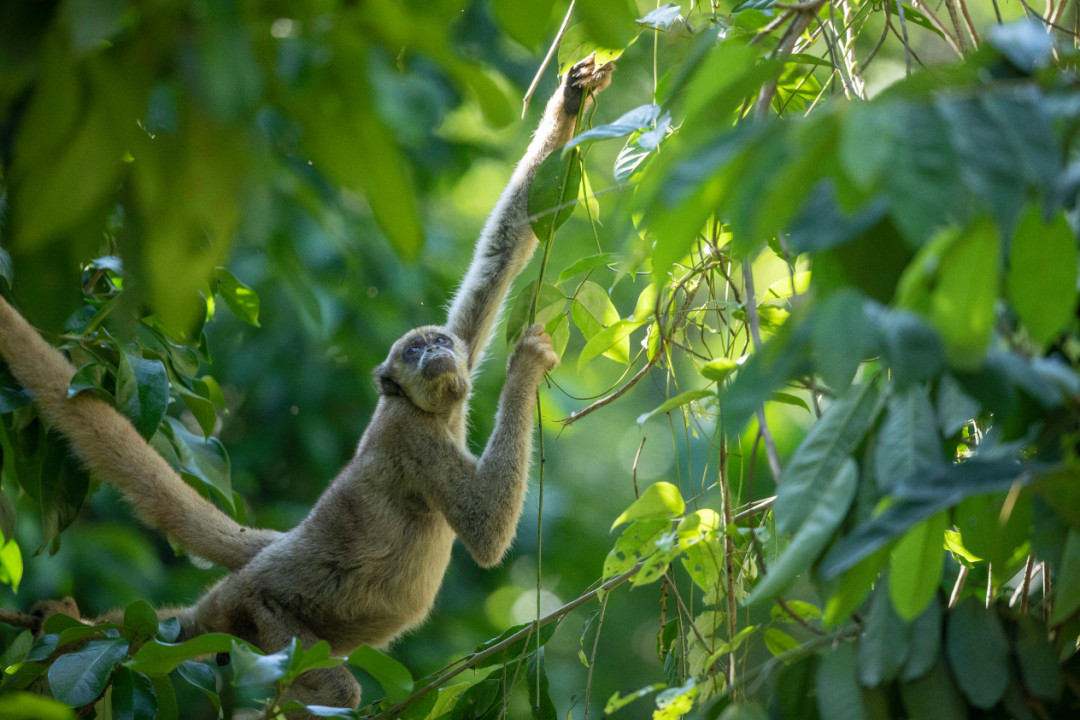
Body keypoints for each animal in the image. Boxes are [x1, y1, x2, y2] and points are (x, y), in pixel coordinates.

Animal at [0, 55, 613, 708]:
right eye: (414, 351)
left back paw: (68, 624)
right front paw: (526, 365)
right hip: (260, 611)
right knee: (319, 683)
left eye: (438, 344)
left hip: (234, 620)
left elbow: (505, 245)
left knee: (172, 633)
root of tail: (272, 551)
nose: (433, 355)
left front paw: (572, 98)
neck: (433, 411)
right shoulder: (410, 436)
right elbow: (483, 529)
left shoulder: (458, 369)